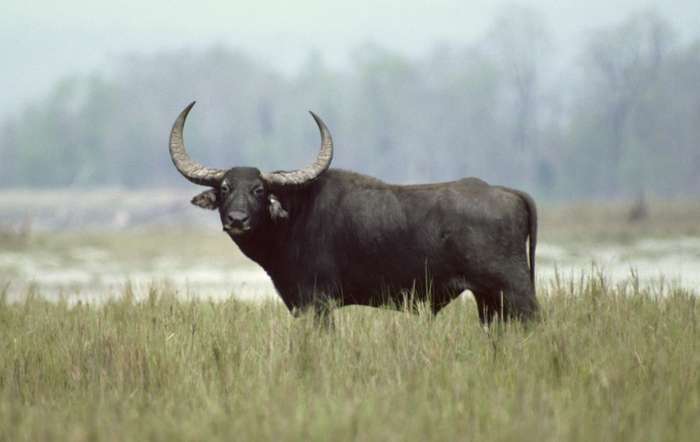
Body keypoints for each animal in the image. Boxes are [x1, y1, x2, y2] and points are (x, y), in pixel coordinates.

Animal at [167, 102, 540, 324]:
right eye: (225, 188)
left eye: (259, 190)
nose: (237, 220)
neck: (293, 217)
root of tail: (507, 192)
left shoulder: (317, 304)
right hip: (488, 301)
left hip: (515, 293)